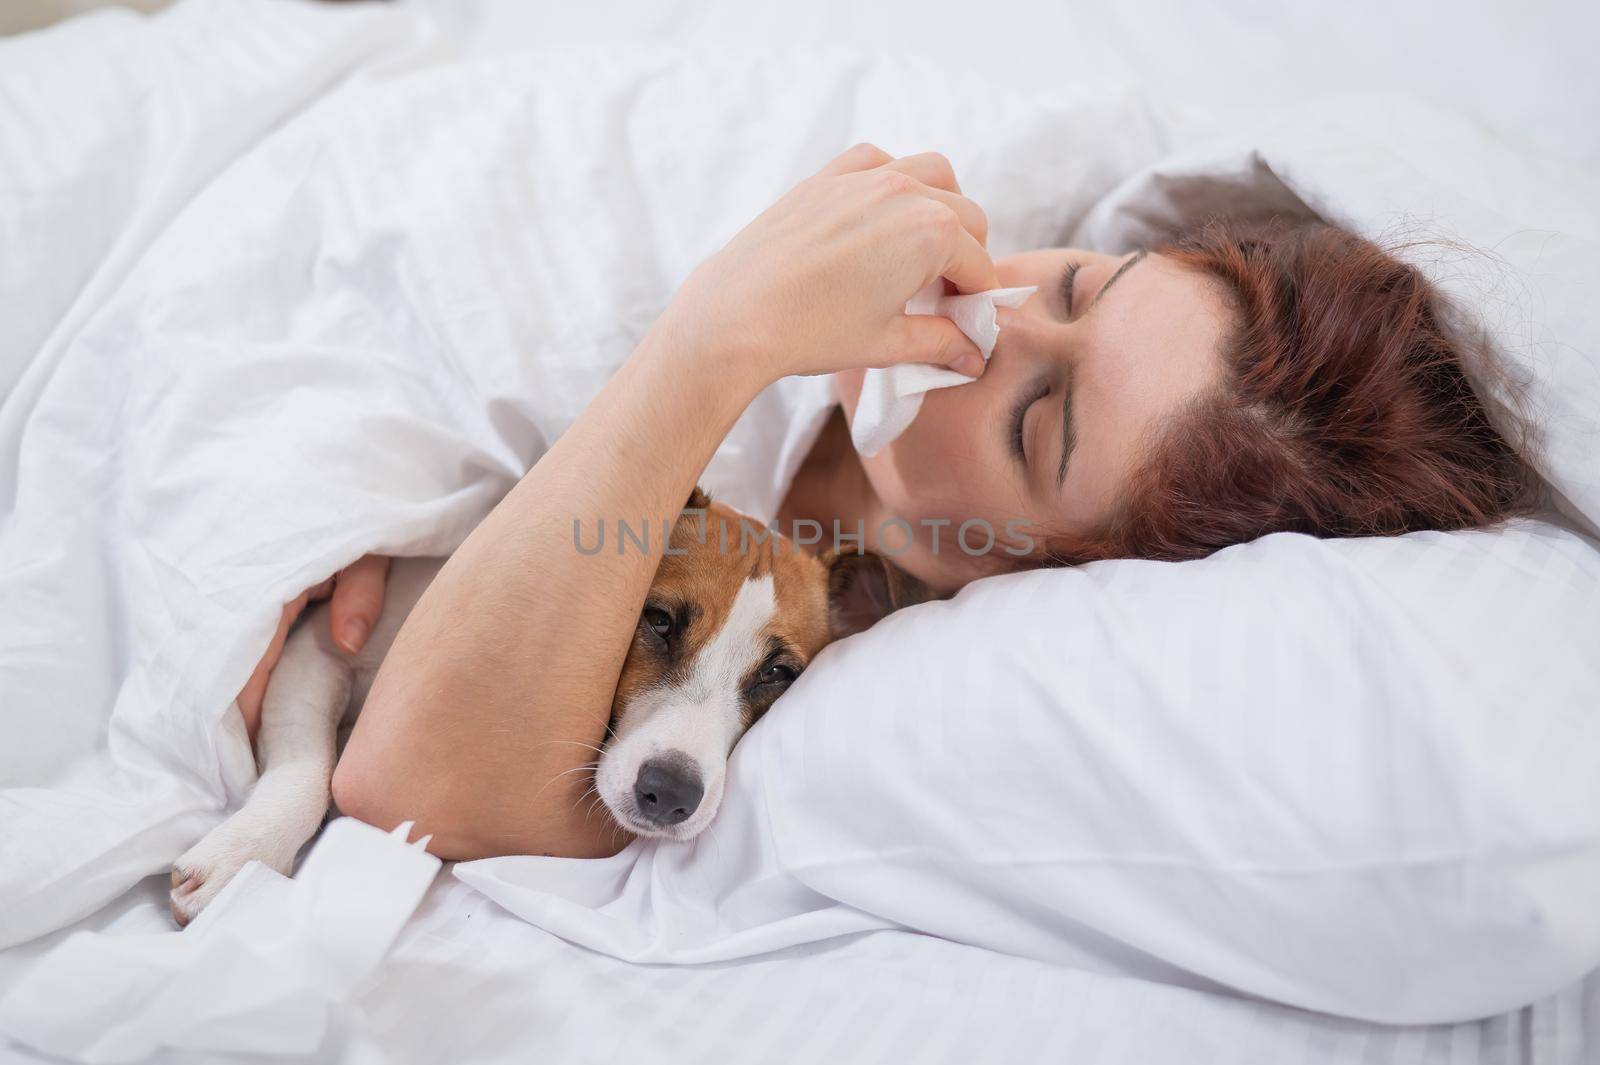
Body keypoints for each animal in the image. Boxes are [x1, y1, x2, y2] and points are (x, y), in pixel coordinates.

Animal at [168, 486, 934, 921]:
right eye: (657, 619)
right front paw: (245, 851)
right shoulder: (322, 644)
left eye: (778, 673)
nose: (670, 793)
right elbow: (308, 766)